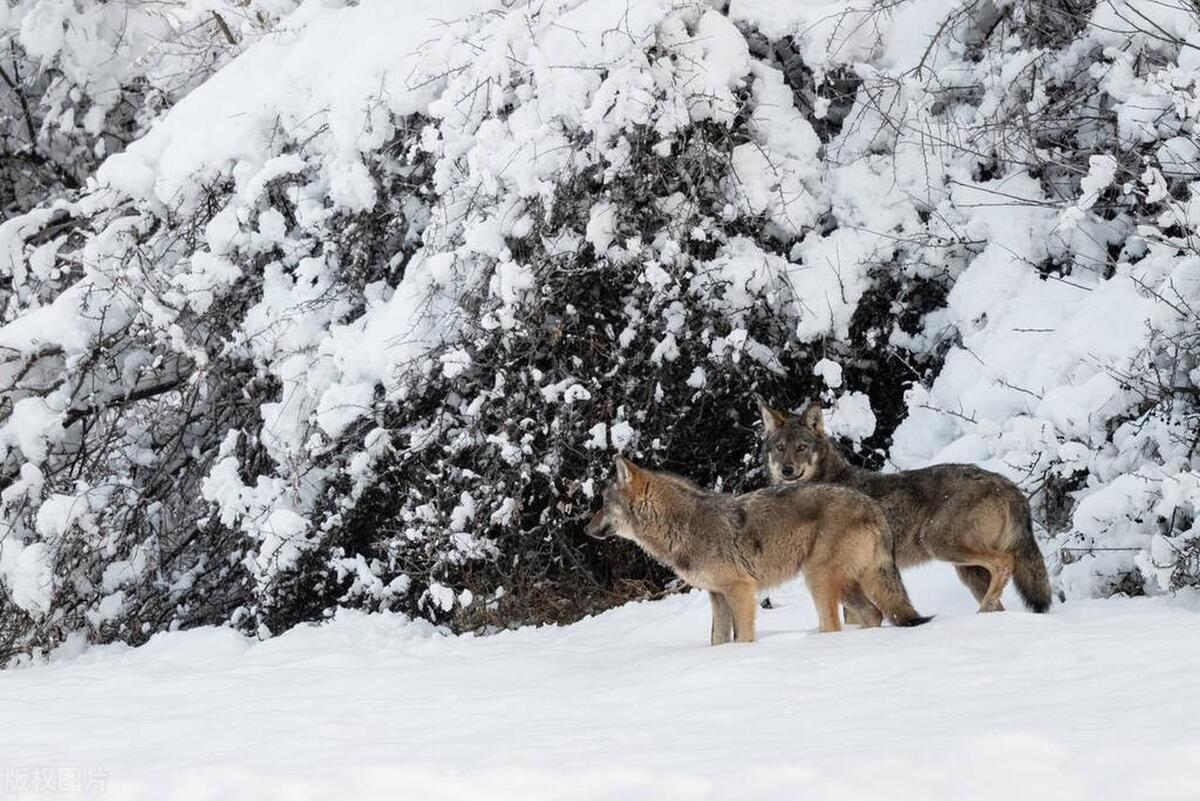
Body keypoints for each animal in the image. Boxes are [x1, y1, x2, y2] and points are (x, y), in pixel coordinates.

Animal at [585, 455, 931, 642]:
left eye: (603, 503)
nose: (586, 529)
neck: (682, 525)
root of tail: (873, 507)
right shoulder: (717, 596)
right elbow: (717, 640)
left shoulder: (740, 590)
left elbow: (742, 638)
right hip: (845, 585)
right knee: (875, 614)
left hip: (818, 580)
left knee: (836, 624)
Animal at [758, 398, 1051, 613]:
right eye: (780, 448)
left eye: (802, 447)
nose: (787, 470)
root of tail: (1007, 484)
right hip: (967, 571)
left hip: (941, 544)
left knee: (1005, 562)